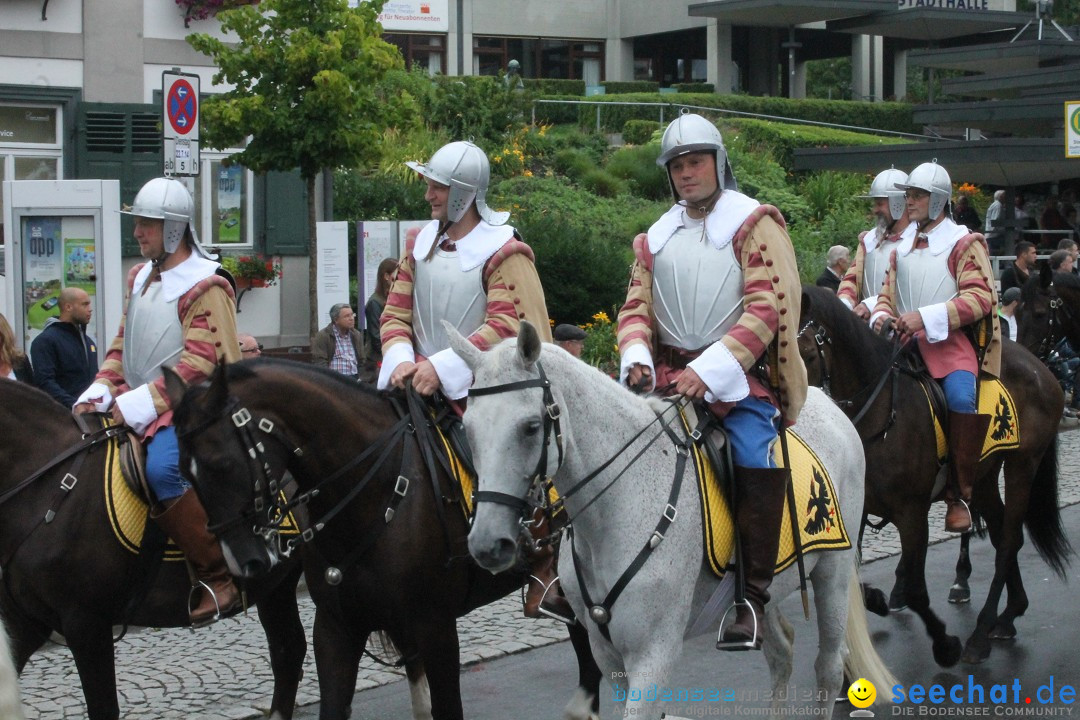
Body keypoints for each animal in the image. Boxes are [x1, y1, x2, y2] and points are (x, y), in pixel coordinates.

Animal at [0, 377, 308, 720]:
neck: (51, 486)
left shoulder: (87, 625)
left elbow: (103, 708)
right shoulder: (24, 621)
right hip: (276, 586)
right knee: (287, 651)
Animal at [165, 360, 604, 720]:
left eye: (221, 464)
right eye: (184, 472)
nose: (247, 563)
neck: (378, 493)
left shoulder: (436, 628)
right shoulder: (336, 628)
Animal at [447, 325, 894, 720]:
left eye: (530, 427)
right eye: (467, 429)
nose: (487, 543)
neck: (614, 513)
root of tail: (829, 404)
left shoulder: (653, 653)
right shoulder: (607, 654)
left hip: (833, 573)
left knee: (828, 667)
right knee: (781, 651)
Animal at [799, 284, 1067, 669]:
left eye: (806, 353)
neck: (881, 413)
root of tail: (1042, 369)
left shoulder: (912, 514)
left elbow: (915, 589)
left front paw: (945, 645)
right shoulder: (857, 509)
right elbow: (854, 580)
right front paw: (877, 599)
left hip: (1022, 467)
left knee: (1006, 543)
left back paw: (979, 634)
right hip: (983, 477)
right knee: (1004, 534)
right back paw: (1008, 615)